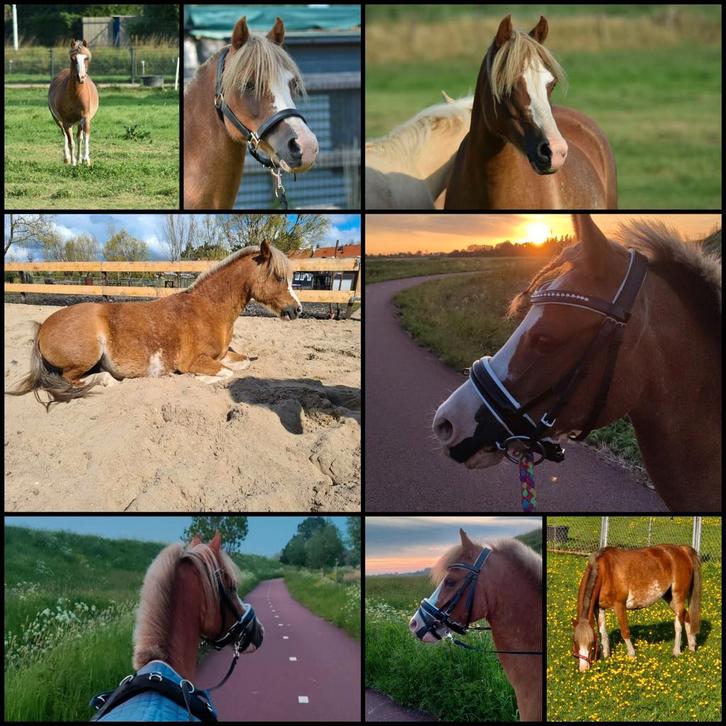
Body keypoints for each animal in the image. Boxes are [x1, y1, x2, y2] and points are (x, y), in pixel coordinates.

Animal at [6, 241, 302, 410]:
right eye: (278, 277)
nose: (297, 310)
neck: (207, 309)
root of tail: (42, 327)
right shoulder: (196, 360)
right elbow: (226, 373)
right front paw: (196, 378)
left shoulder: (224, 354)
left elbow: (244, 364)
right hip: (85, 358)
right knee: (70, 379)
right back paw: (108, 380)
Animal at [571, 545, 701, 672]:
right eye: (575, 641)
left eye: (591, 643)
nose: (583, 669)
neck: (606, 571)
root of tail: (683, 549)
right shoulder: (599, 608)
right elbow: (602, 632)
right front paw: (606, 656)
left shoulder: (619, 605)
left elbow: (625, 631)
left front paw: (631, 655)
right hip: (669, 597)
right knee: (686, 616)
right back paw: (691, 647)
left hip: (678, 595)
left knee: (678, 623)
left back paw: (676, 652)